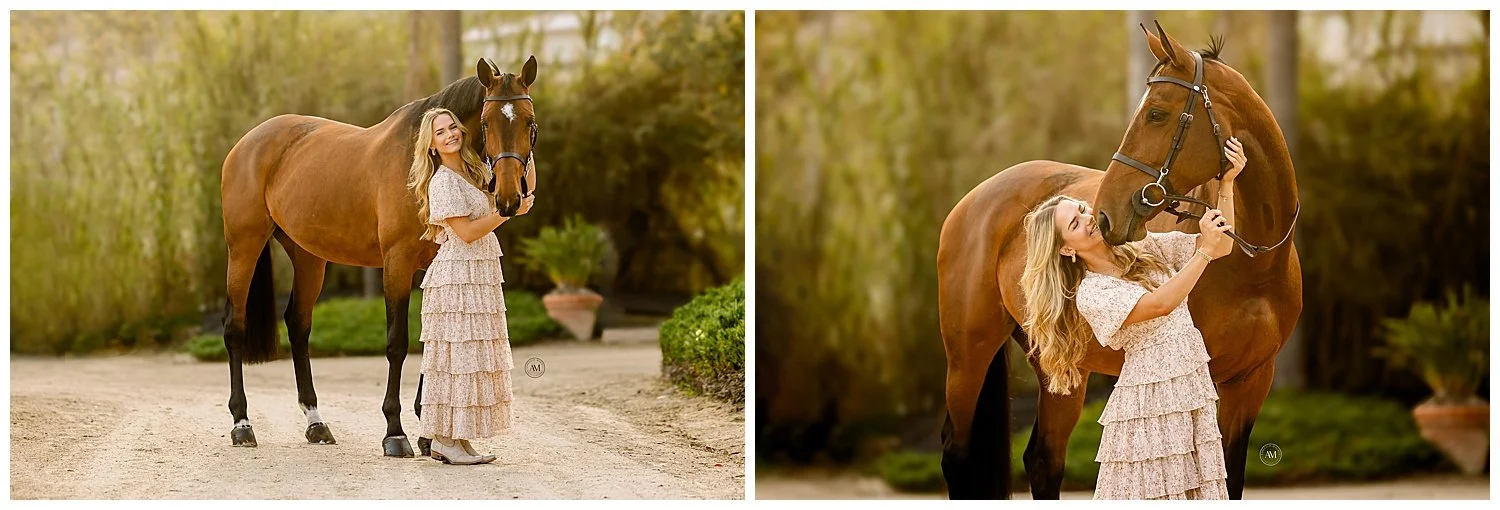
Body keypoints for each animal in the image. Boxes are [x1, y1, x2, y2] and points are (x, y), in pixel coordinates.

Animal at [218, 55, 540, 457]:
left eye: (529, 121)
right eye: (486, 121)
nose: (511, 198)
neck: (420, 164)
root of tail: (248, 141)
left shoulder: (433, 265)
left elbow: (430, 338)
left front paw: (429, 434)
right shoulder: (397, 264)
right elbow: (397, 343)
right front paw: (395, 432)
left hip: (308, 257)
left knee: (298, 325)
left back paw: (316, 422)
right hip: (244, 246)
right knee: (235, 327)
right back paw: (241, 424)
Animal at [936, 23, 1301, 499]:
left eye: (1157, 114)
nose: (1105, 213)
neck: (1253, 264)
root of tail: (973, 199)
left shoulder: (1251, 380)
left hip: (1060, 368)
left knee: (1043, 459)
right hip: (967, 358)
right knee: (957, 454)